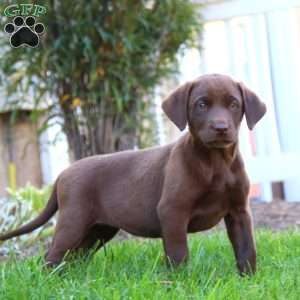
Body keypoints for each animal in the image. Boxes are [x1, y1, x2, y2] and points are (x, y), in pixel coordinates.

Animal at [0, 74, 268, 274]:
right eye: (201, 104)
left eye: (233, 104)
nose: (221, 128)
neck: (216, 162)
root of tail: (63, 173)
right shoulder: (172, 211)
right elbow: (178, 253)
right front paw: (180, 282)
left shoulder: (239, 211)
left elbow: (246, 249)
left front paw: (249, 280)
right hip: (74, 220)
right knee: (52, 255)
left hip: (98, 229)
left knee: (75, 256)